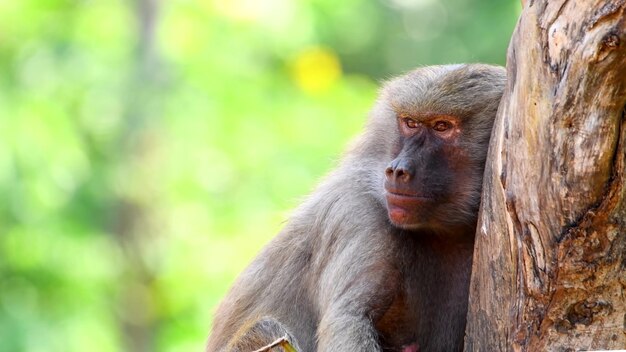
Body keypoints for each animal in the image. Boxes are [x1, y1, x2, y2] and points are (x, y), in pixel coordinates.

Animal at [207, 64, 504, 352]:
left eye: (442, 126)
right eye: (409, 123)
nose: (398, 170)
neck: (446, 230)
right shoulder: (358, 212)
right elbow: (348, 320)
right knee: (270, 332)